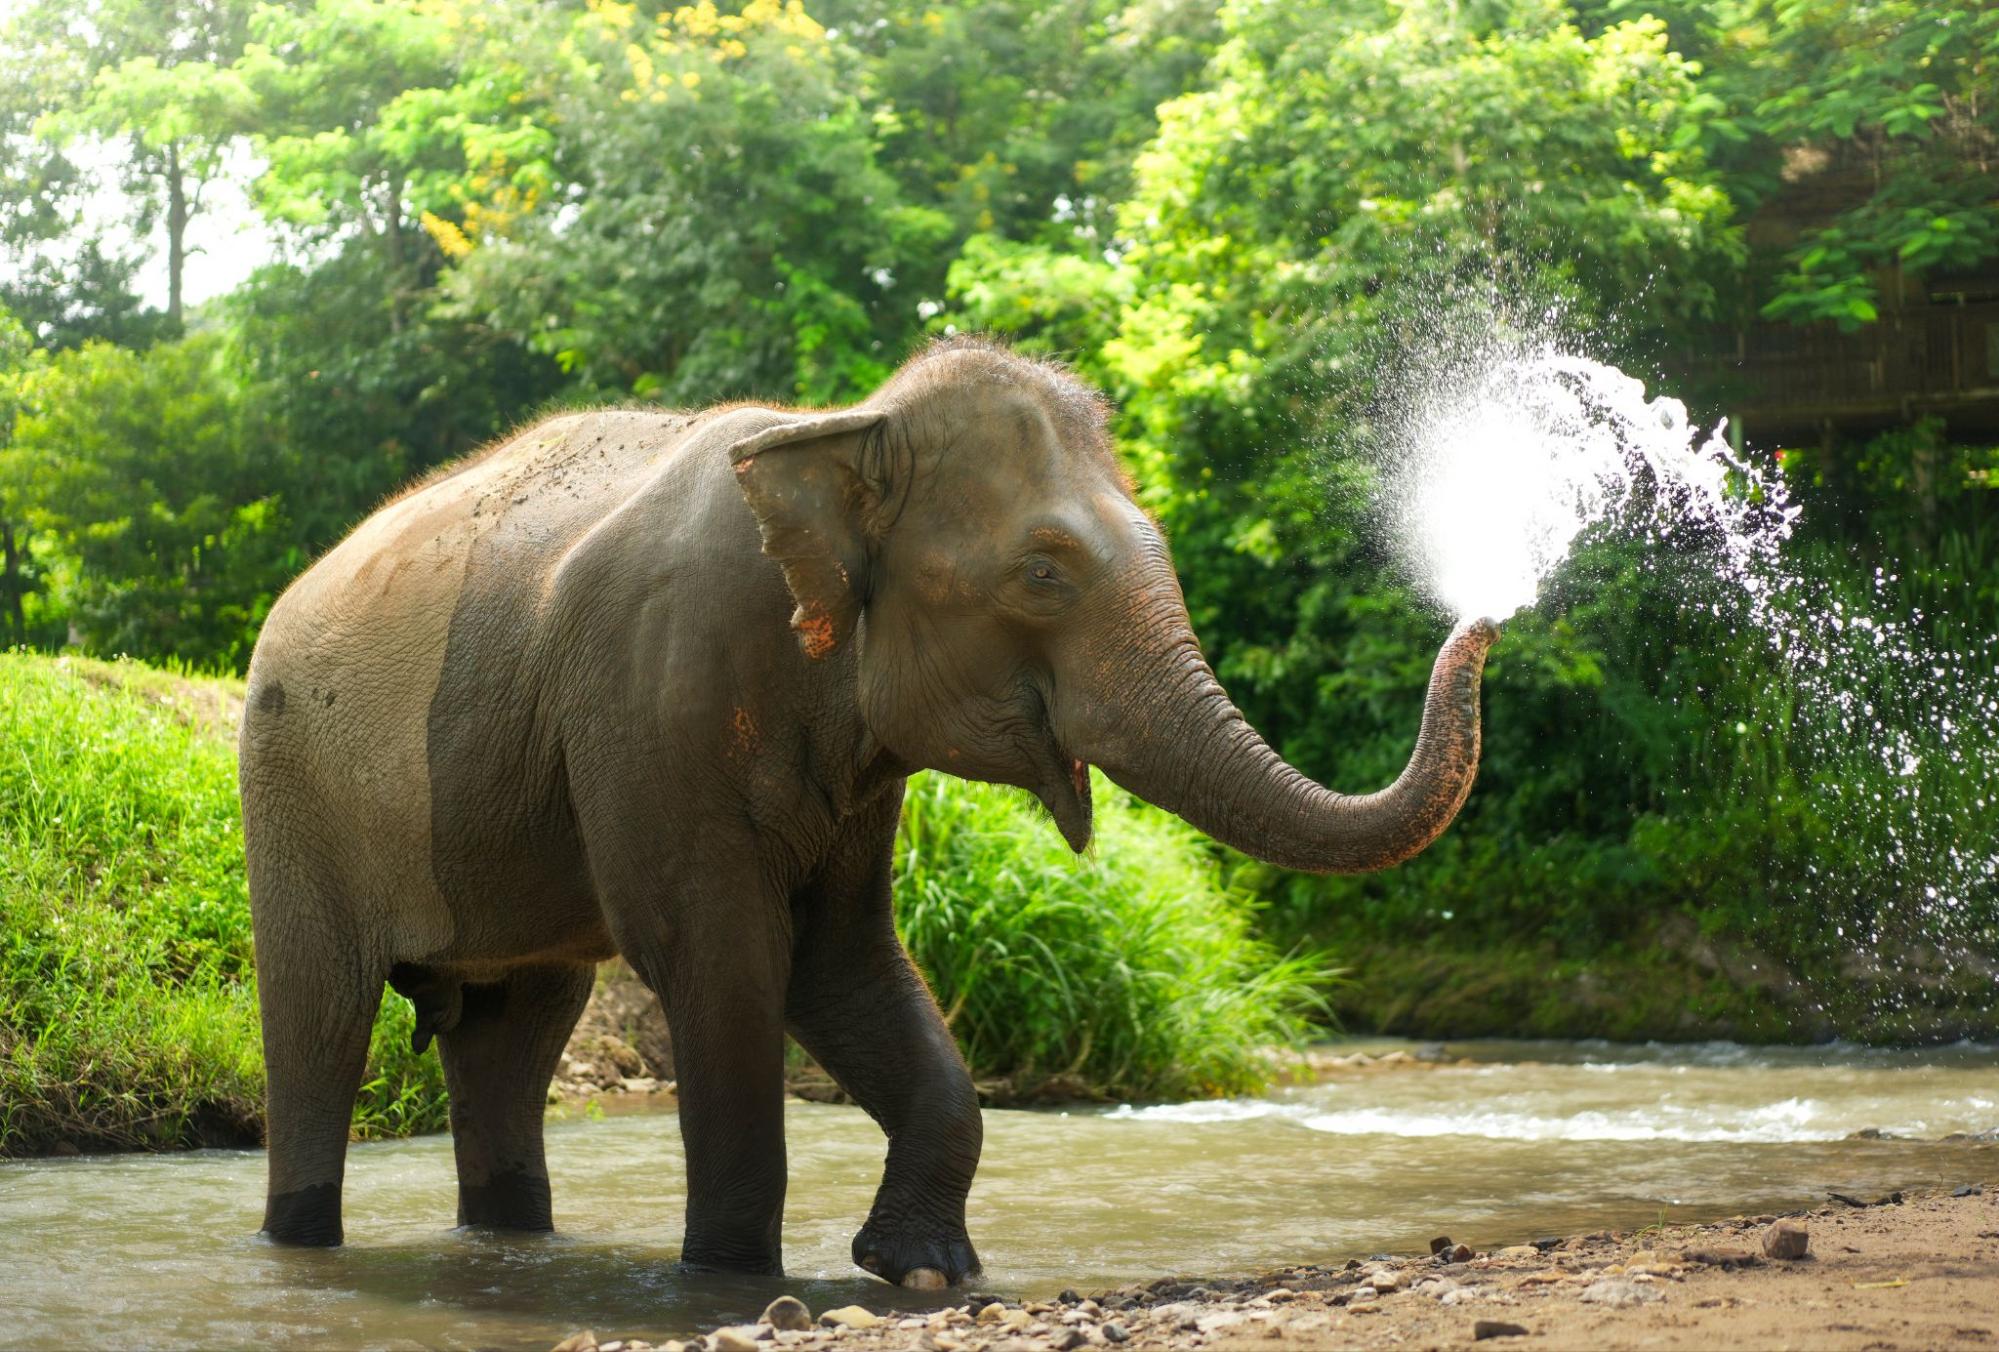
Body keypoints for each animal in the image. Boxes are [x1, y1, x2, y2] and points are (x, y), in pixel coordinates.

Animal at [237, 336, 1497, 1285]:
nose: (1487, 613)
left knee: (516, 1031)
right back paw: (298, 1241)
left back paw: (508, 1234)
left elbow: (838, 957)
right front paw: (730, 1277)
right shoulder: (649, 697)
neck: (836, 427)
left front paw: (923, 1267)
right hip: (289, 786)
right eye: (1043, 572)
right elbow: (719, 953)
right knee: (321, 1019)